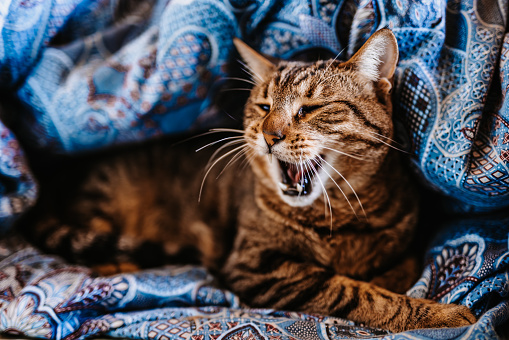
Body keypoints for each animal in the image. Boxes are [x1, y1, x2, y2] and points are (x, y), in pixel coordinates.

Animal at [17, 29, 474, 332]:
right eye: (264, 106)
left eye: (310, 108)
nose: (270, 135)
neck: (337, 216)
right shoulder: (257, 266)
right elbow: (353, 291)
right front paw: (441, 314)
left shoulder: (409, 243)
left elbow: (395, 270)